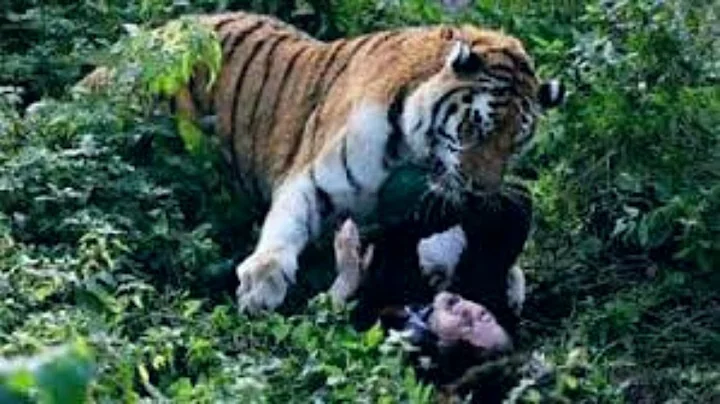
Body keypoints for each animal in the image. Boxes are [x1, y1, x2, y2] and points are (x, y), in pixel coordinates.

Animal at [79, 11, 564, 315]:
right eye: (476, 129)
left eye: (515, 144)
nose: (482, 192)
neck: (415, 152)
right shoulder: (313, 177)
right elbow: (286, 224)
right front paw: (262, 282)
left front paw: (506, 279)